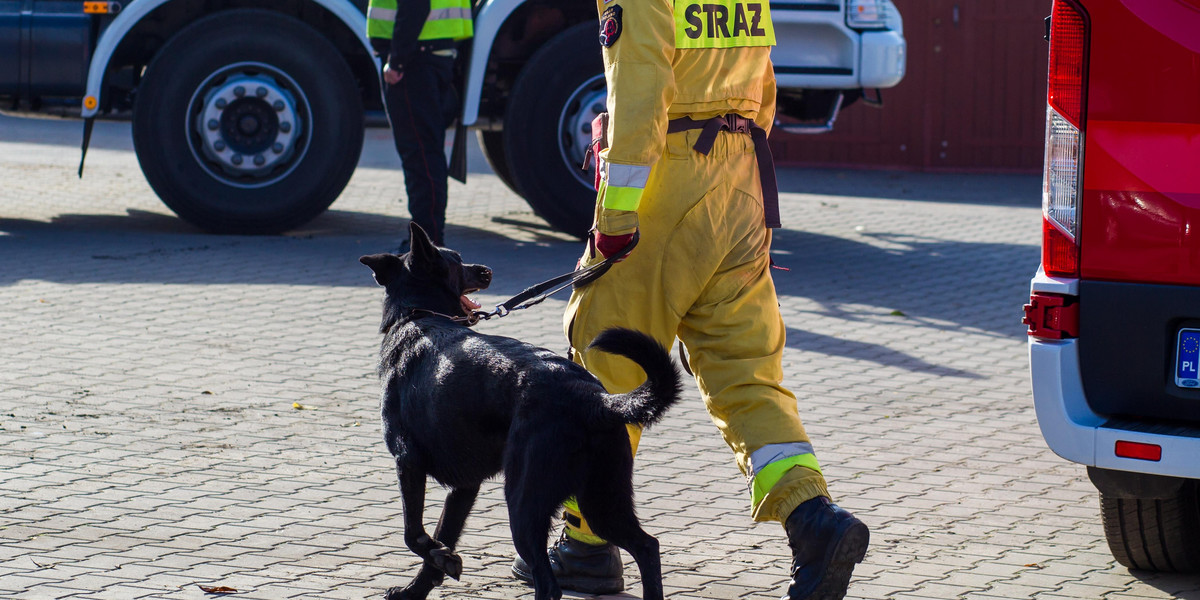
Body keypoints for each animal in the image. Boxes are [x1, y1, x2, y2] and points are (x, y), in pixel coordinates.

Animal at [357, 224, 686, 600]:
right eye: (457, 261)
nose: (486, 270)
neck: (420, 315)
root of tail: (593, 398)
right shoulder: (464, 487)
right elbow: (442, 537)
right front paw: (422, 583)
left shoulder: (407, 461)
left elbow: (413, 533)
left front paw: (437, 558)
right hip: (602, 501)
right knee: (647, 546)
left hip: (524, 502)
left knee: (549, 582)